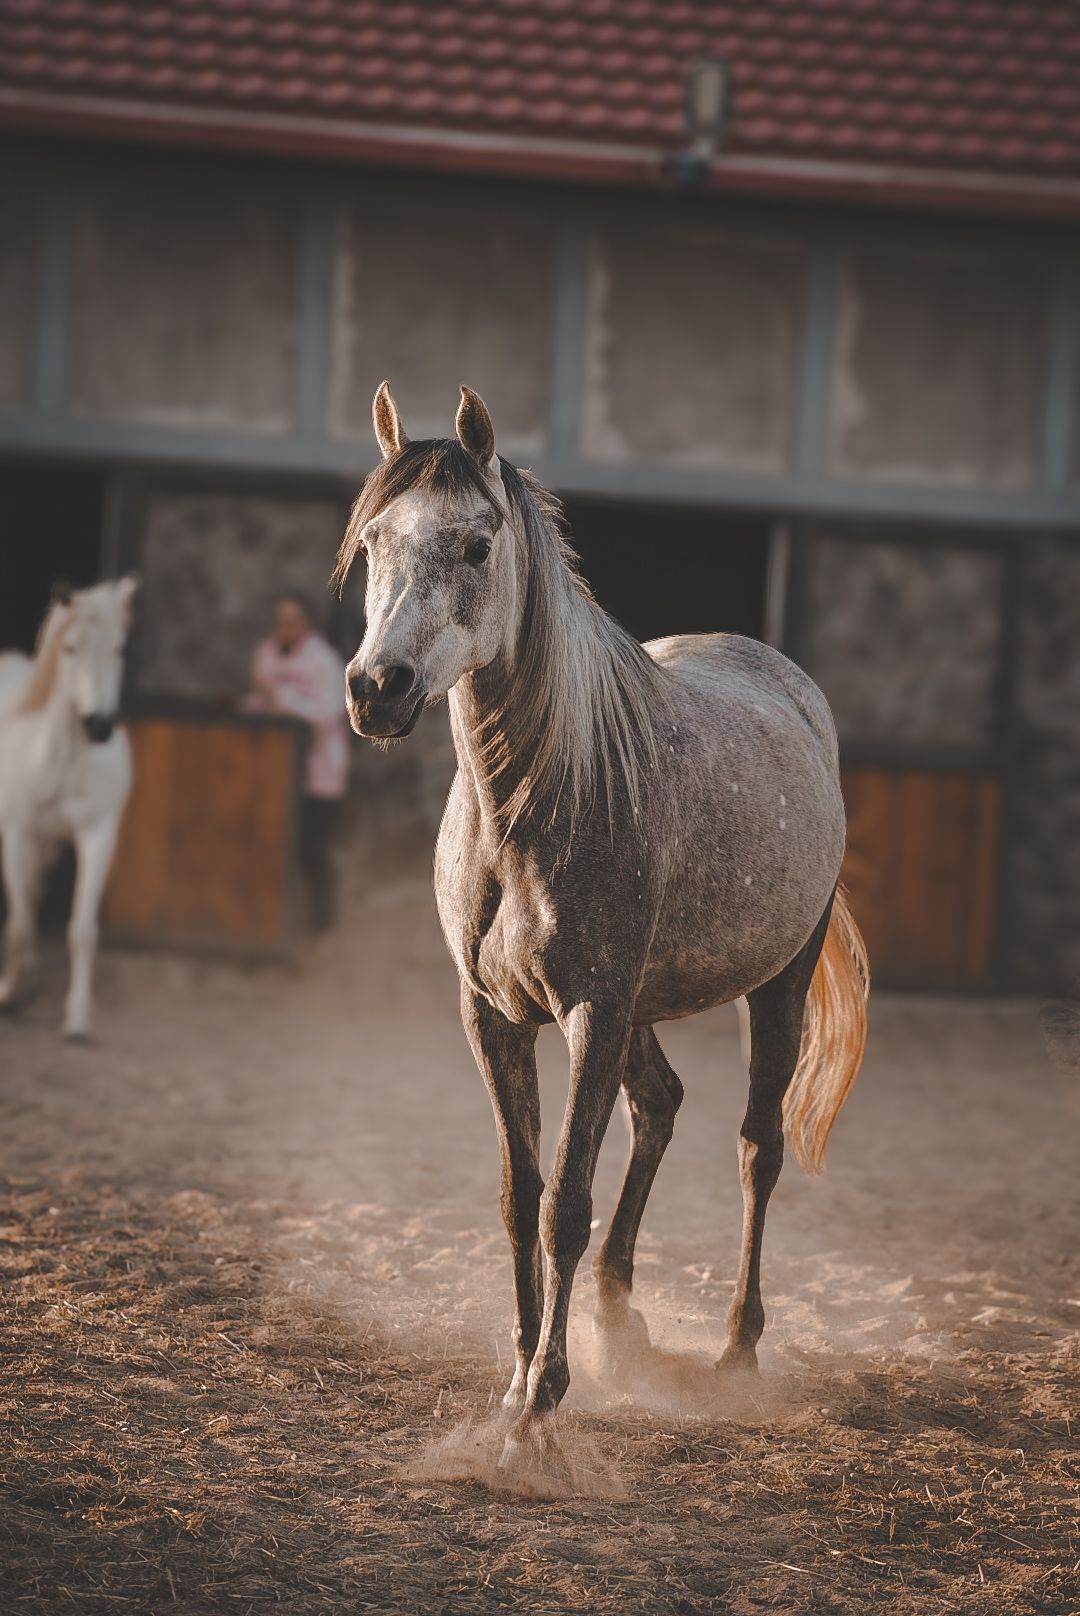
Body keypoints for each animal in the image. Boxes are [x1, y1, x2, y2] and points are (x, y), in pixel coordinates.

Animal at [0, 578, 137, 1040]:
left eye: (118, 648)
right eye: (70, 647)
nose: (99, 725)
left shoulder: (97, 836)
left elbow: (81, 930)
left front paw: (77, 1019)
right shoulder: (19, 835)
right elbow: (22, 924)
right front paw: (10, 994)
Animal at [338, 382, 869, 1473]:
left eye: (477, 545)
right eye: (372, 540)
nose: (378, 688)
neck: (538, 795)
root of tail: (790, 684)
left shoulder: (591, 1008)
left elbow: (564, 1206)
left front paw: (540, 1403)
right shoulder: (494, 1016)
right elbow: (518, 1195)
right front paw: (516, 1374)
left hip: (770, 986)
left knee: (756, 1147)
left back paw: (737, 1347)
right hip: (643, 1007)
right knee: (660, 1105)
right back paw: (621, 1323)